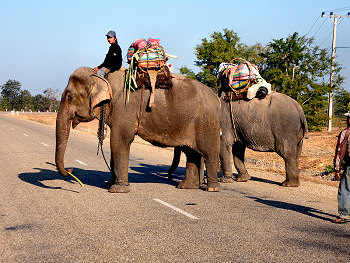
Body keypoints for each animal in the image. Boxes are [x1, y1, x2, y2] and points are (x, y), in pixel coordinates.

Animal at [55, 67, 221, 193]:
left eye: (69, 97)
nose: (70, 170)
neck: (103, 78)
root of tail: (216, 96)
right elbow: (115, 143)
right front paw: (109, 184)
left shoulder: (125, 107)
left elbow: (119, 141)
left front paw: (117, 189)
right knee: (191, 152)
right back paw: (186, 186)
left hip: (207, 122)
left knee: (208, 152)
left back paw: (211, 188)